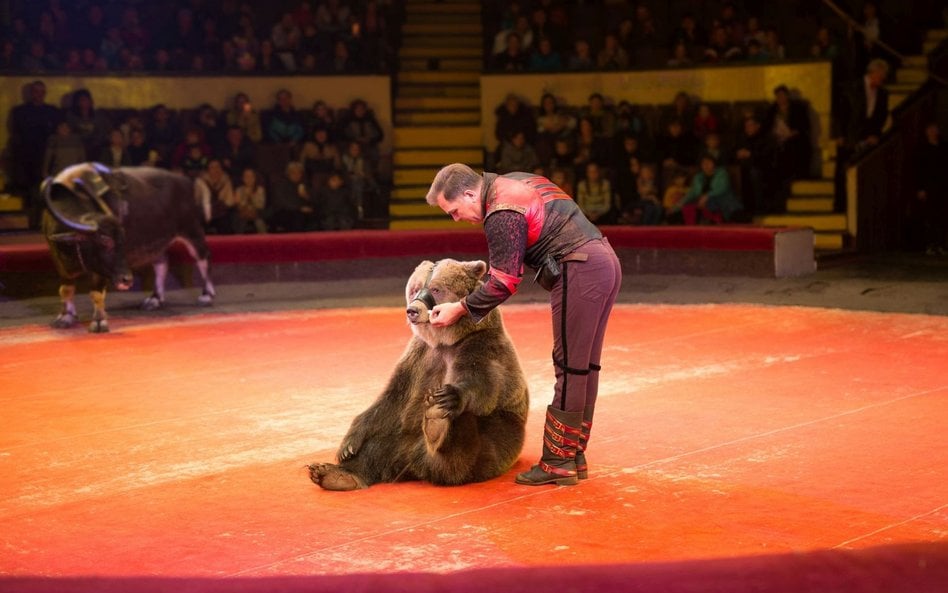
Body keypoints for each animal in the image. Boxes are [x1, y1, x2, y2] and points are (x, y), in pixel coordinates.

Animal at [312, 260, 532, 490]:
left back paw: (437, 418)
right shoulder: (418, 357)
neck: (445, 340)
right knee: (377, 447)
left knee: (462, 454)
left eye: (436, 289)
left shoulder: (480, 345)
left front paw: (450, 396)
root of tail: (417, 464)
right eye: (415, 288)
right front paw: (348, 445)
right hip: (402, 438)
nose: (412, 310)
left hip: (495, 443)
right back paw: (336, 475)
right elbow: (391, 400)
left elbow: (483, 383)